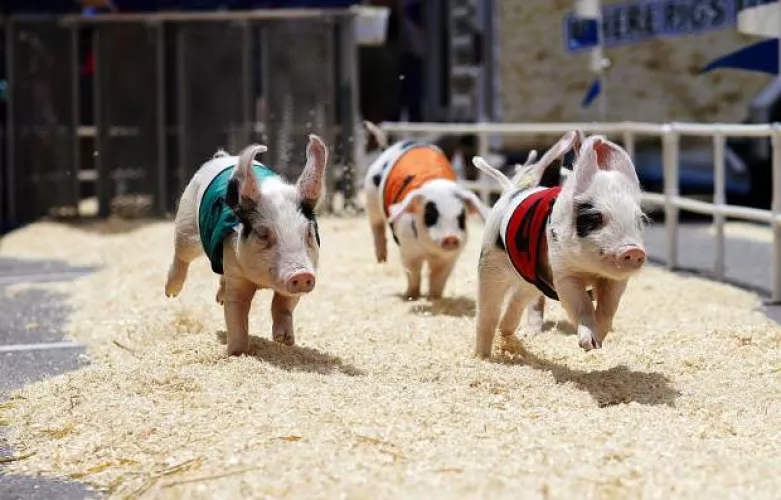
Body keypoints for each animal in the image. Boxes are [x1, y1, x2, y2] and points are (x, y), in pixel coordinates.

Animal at [164, 135, 329, 356]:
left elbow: (284, 303)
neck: (262, 283)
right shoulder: (236, 270)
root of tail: (223, 157)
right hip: (186, 223)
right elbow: (236, 312)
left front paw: (284, 341)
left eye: (308, 232)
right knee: (182, 255)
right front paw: (237, 353)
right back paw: (171, 293)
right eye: (262, 233)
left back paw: (219, 298)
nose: (301, 275)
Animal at [362, 121, 490, 299]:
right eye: (430, 215)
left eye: (461, 218)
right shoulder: (408, 251)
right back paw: (381, 260)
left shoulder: (450, 259)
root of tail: (387, 149)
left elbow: (438, 279)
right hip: (371, 199)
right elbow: (413, 274)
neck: (430, 253)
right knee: (377, 226)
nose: (451, 237)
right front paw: (411, 296)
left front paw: (434, 297)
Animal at [471, 132, 647, 358]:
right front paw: (588, 344)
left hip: (531, 280)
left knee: (517, 300)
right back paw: (481, 357)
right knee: (487, 312)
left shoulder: (616, 281)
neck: (590, 271)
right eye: (594, 218)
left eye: (640, 219)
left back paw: (508, 334)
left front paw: (597, 342)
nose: (634, 250)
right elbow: (580, 304)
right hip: (489, 262)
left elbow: (608, 308)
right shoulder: (561, 270)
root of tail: (511, 192)